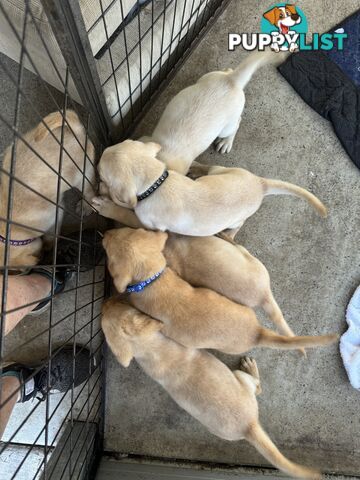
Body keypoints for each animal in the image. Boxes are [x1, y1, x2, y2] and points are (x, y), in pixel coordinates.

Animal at [0, 110, 95, 268]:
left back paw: (86, 205)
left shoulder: (55, 216)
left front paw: (49, 246)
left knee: (89, 189)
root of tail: (72, 130)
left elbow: (52, 236)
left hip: (80, 176)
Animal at [95, 138, 326, 237]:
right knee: (209, 168)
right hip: (221, 170)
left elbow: (126, 213)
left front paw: (105, 205)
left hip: (237, 218)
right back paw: (196, 169)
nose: (98, 182)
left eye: (101, 174)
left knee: (239, 225)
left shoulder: (149, 226)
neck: (157, 182)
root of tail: (261, 183)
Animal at [102, 300, 322, 480]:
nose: (105, 301)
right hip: (240, 381)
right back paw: (251, 367)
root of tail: (249, 426)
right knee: (257, 387)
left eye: (115, 306)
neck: (147, 347)